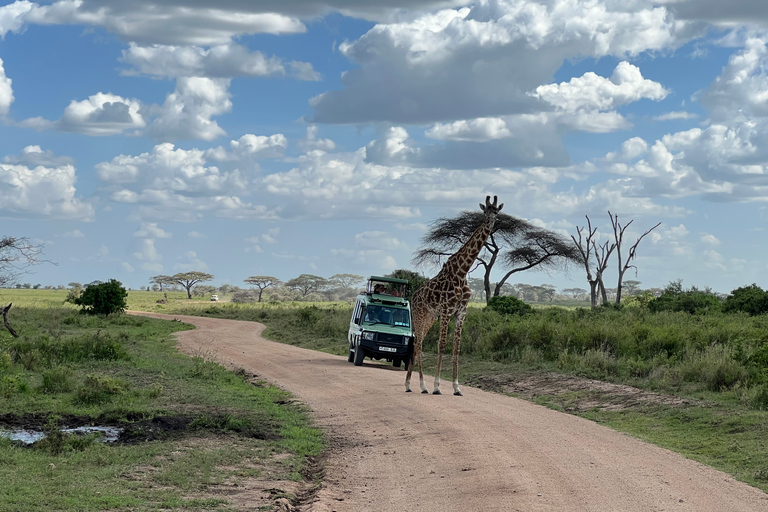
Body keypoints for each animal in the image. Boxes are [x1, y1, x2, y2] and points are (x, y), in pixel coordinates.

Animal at [404, 196, 500, 396]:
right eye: (485, 211)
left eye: (496, 211)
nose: (490, 222)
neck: (462, 272)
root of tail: (414, 295)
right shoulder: (447, 311)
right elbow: (441, 345)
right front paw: (437, 386)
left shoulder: (461, 312)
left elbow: (457, 348)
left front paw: (456, 387)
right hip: (419, 314)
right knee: (418, 344)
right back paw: (420, 385)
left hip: (430, 318)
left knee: (418, 343)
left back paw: (413, 384)